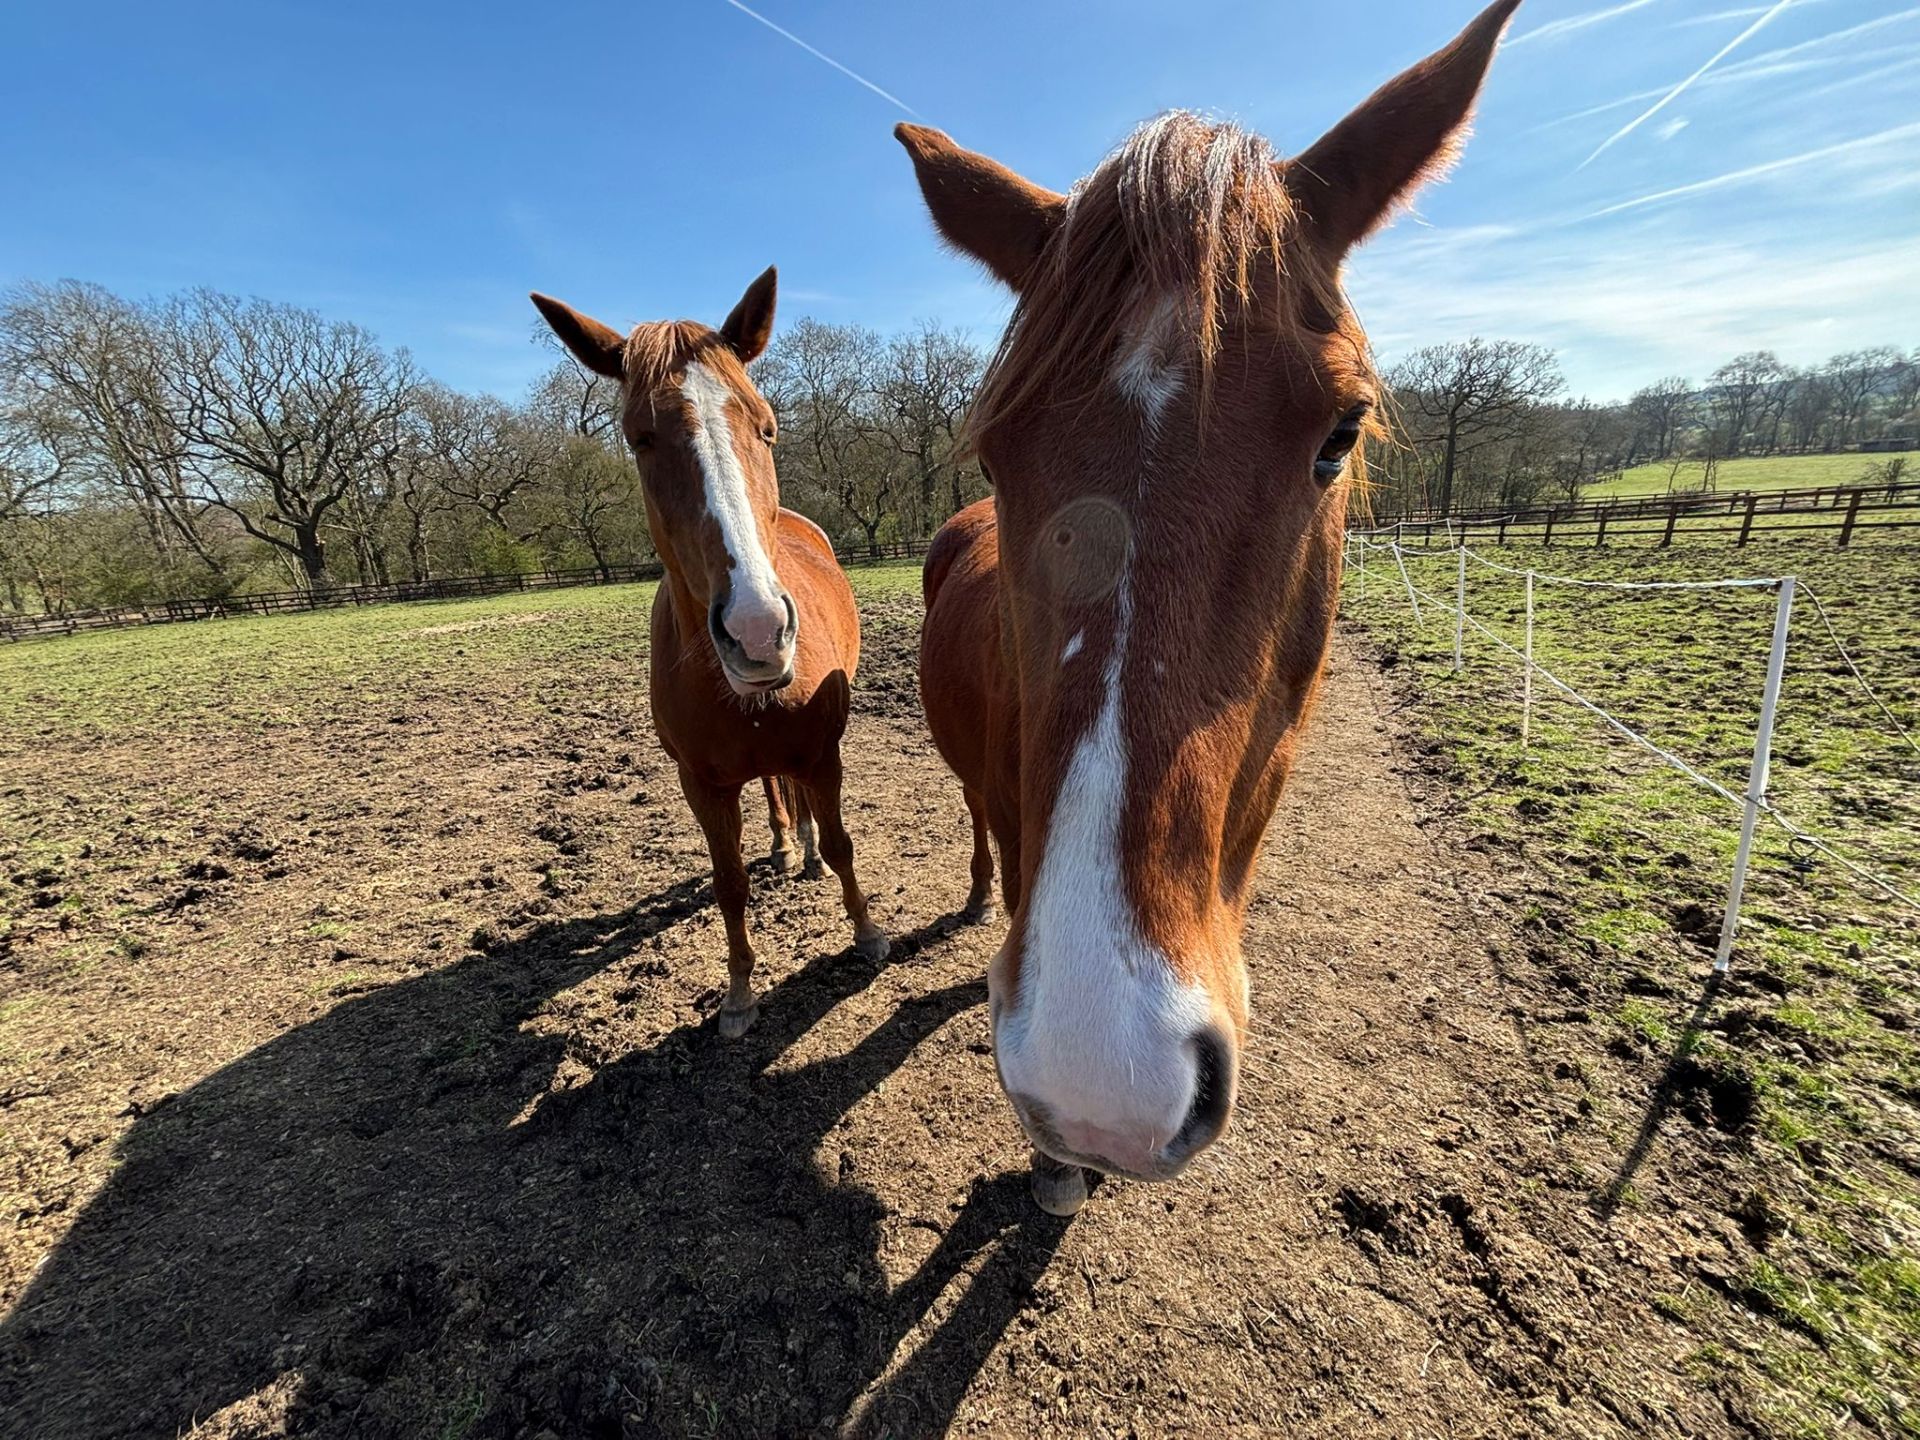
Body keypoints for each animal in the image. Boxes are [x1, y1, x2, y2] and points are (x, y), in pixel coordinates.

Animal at [530, 269, 889, 1037]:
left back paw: (803, 850)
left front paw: (868, 933)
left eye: (767, 425)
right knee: (772, 795)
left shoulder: (823, 755)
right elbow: (729, 884)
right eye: (640, 439)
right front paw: (739, 993)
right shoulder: (701, 783)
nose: (756, 631)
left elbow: (842, 842)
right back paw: (785, 843)